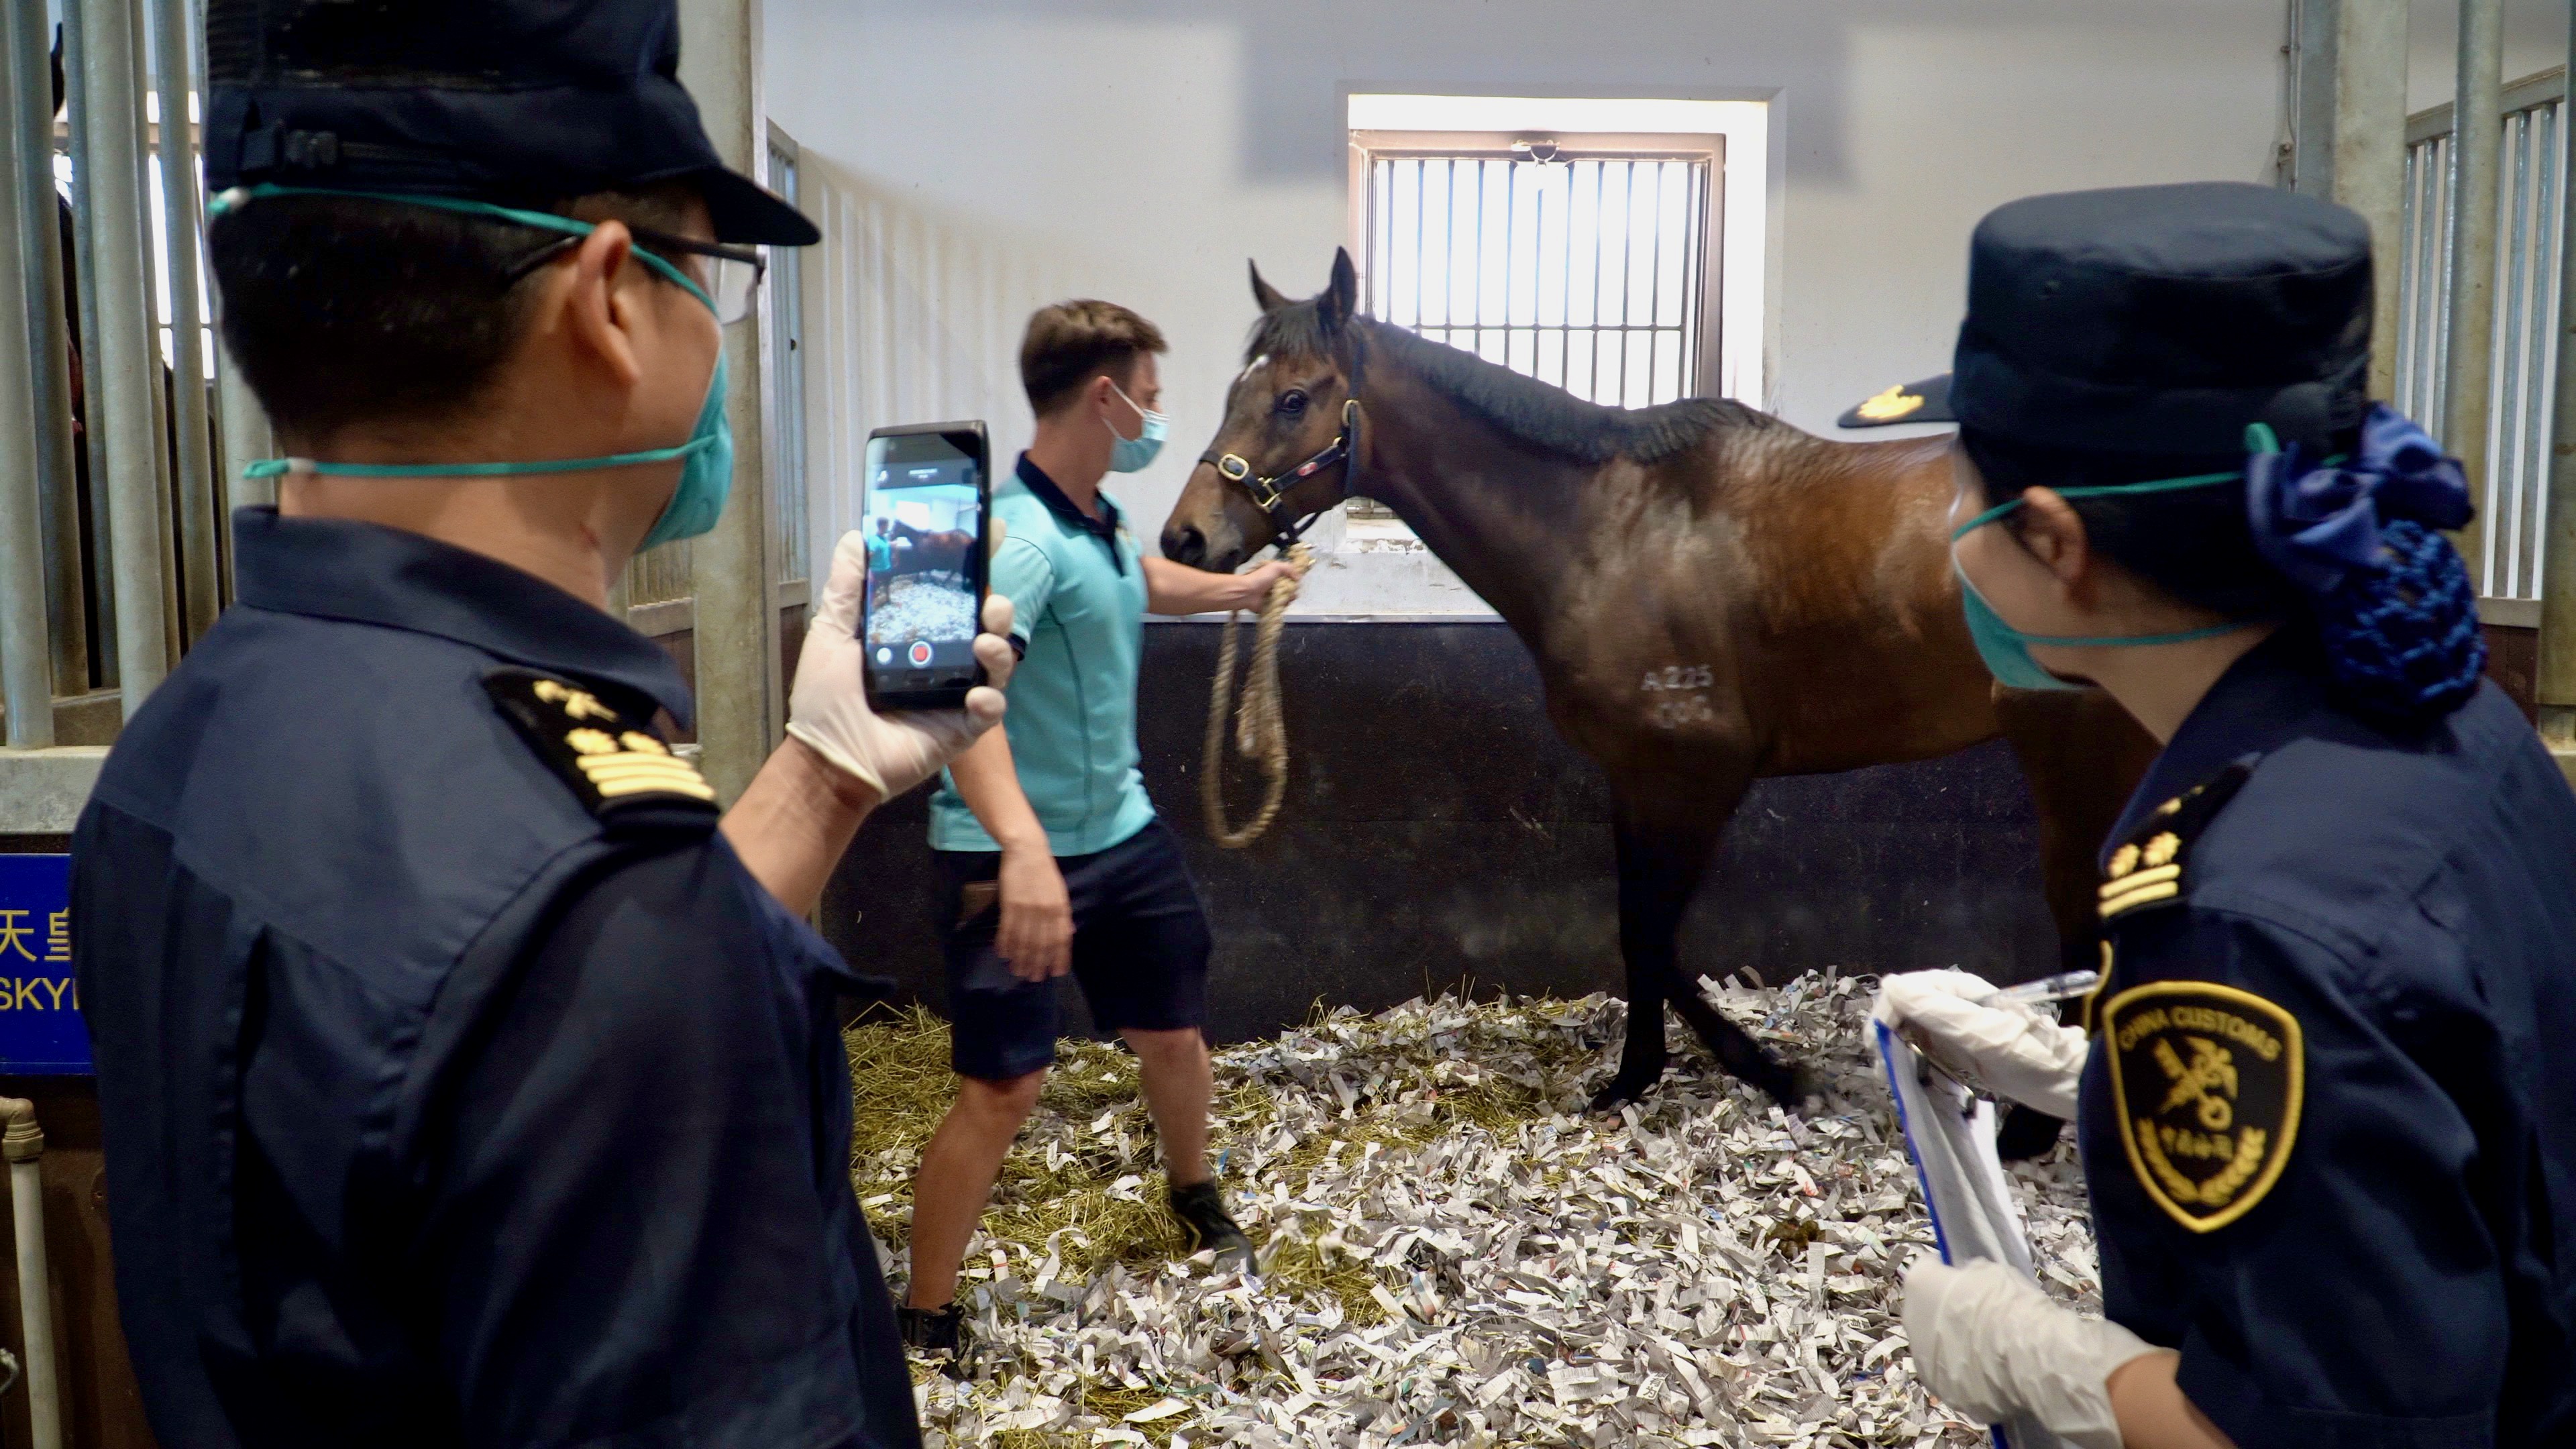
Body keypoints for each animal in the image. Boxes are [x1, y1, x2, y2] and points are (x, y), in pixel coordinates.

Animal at [1161, 249, 2159, 1111]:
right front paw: (1640, 1074)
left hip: (2073, 753)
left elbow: (1651, 930)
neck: (1612, 530)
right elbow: (1636, 924)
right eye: (1236, 392)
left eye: (1293, 399)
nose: (1185, 539)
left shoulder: (1699, 774)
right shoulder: (1634, 775)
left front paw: (1762, 1068)